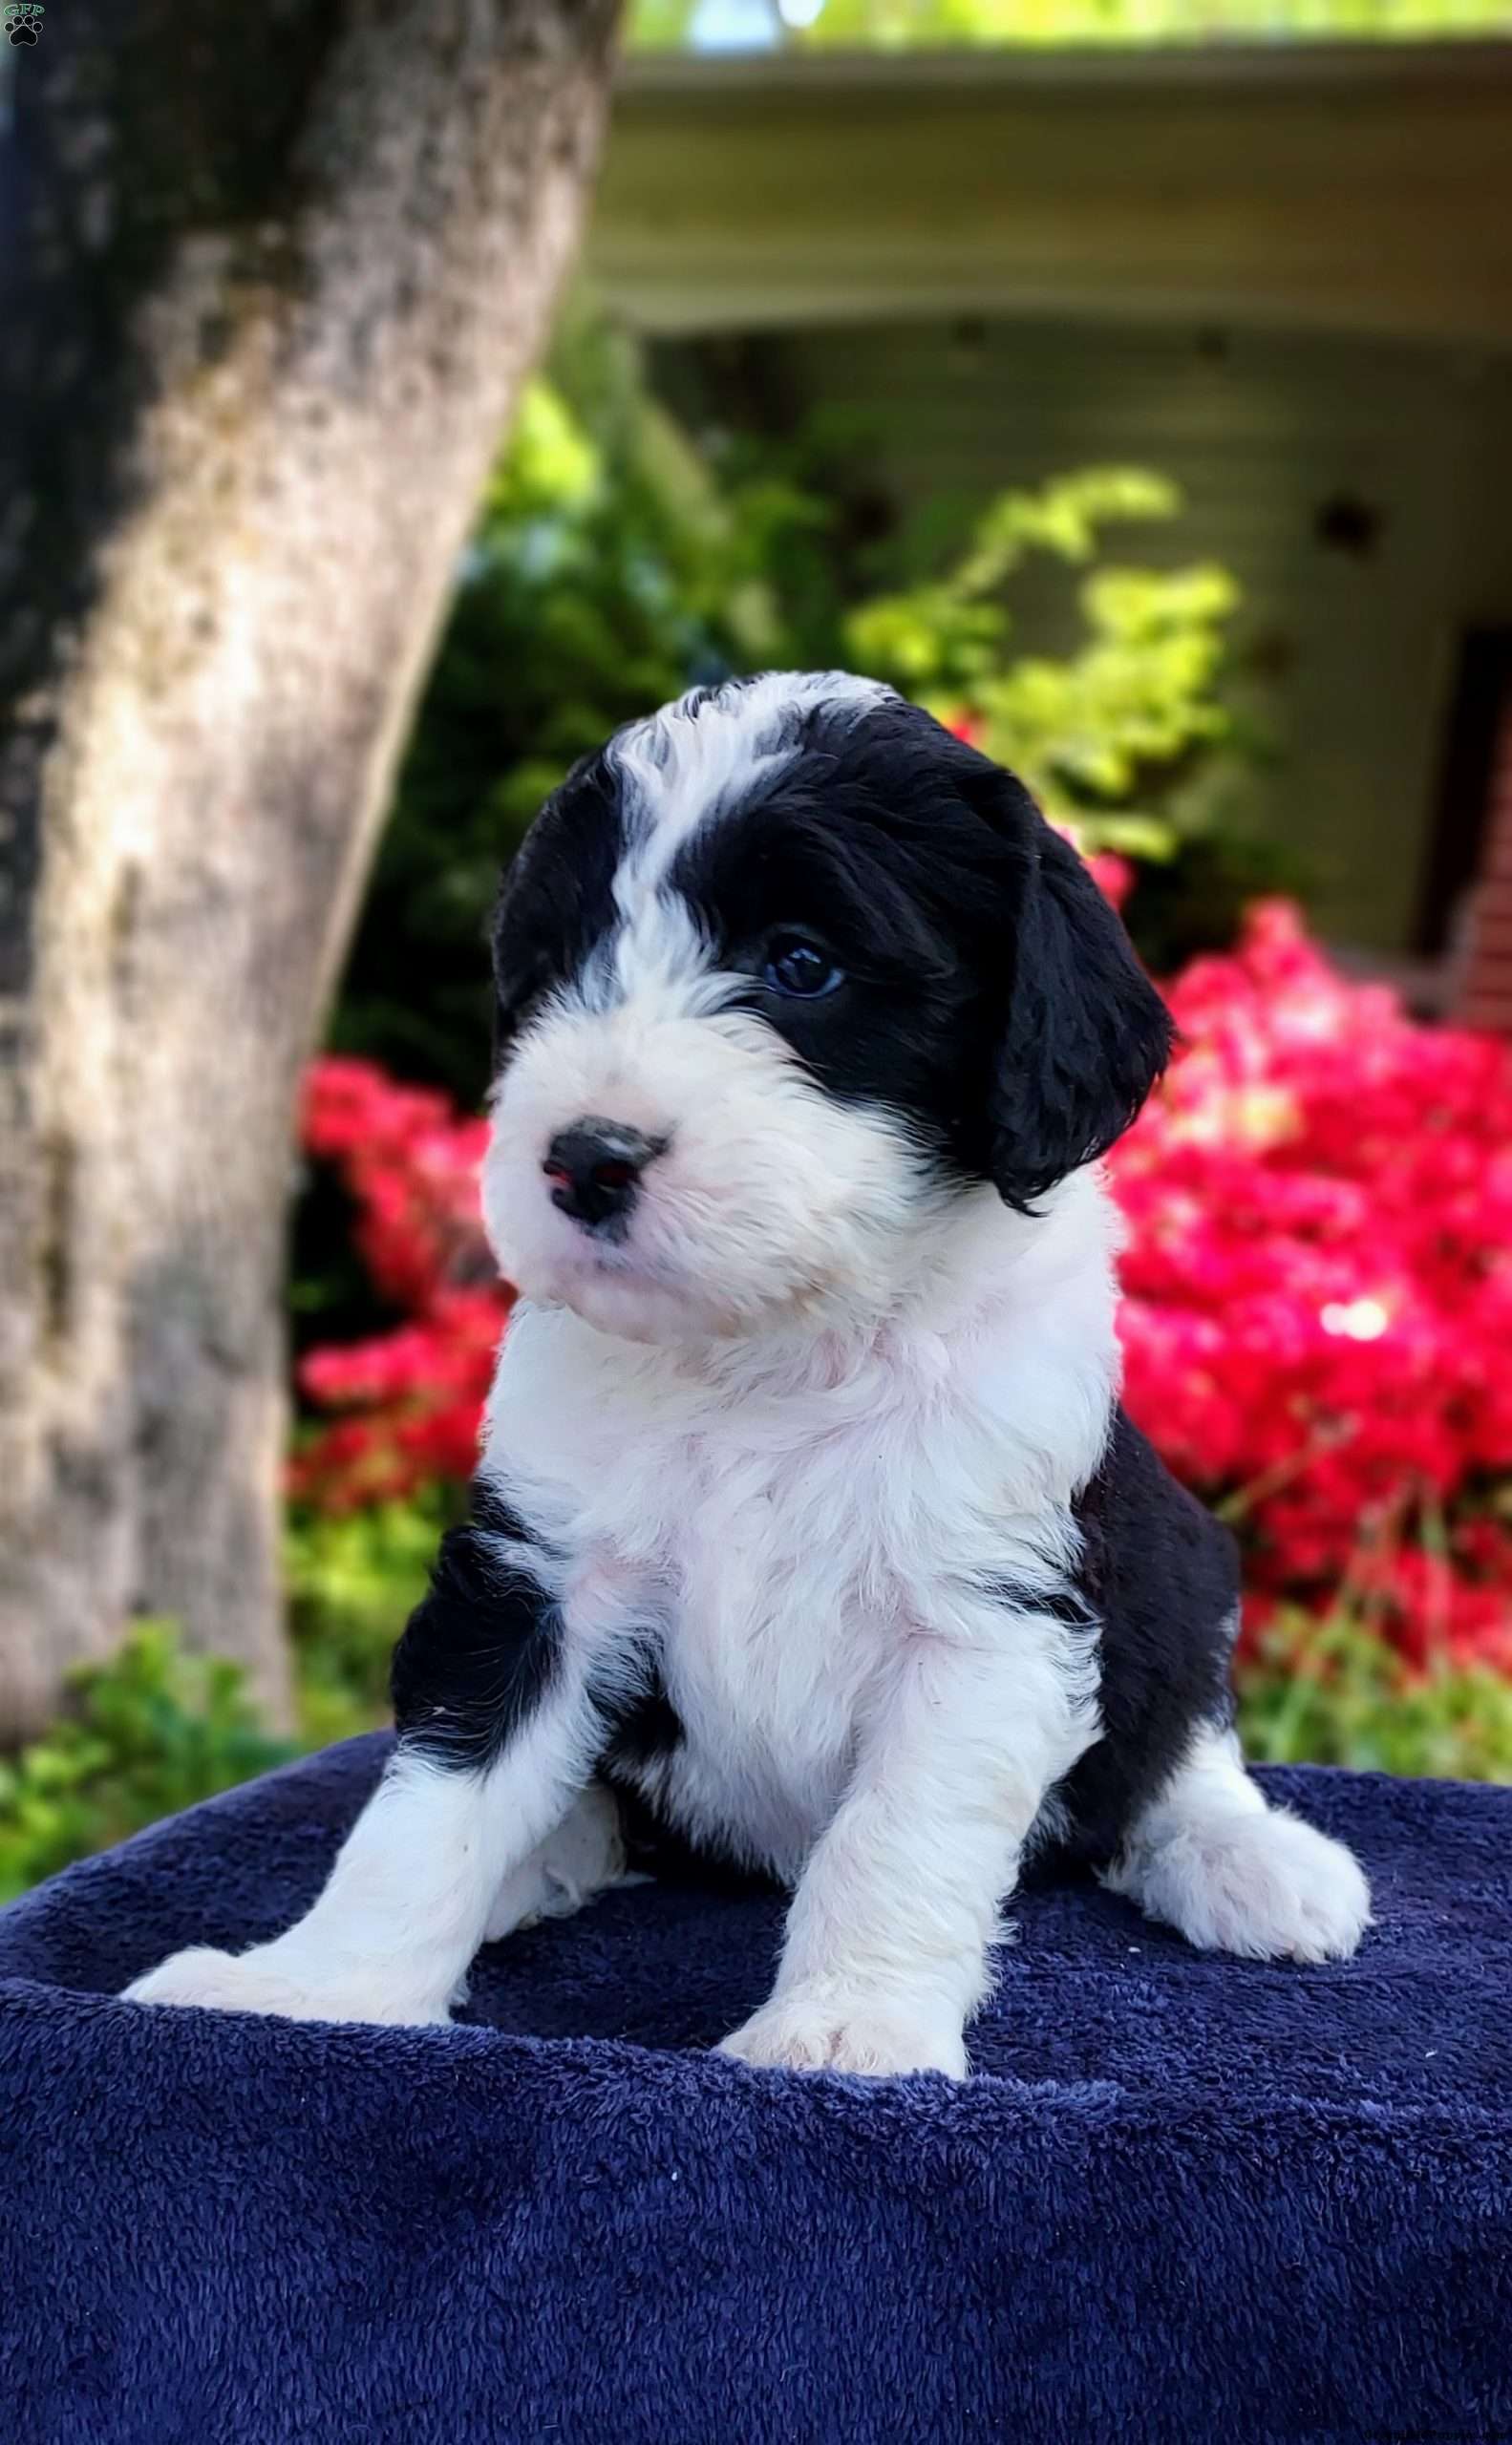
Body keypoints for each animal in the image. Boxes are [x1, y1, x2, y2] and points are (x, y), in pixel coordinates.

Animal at [129, 674, 1370, 2083]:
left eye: (801, 964)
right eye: (554, 969)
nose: (584, 1158)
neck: (774, 1346)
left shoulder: (987, 1611)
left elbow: (897, 1836)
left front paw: (844, 2031)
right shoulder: (540, 1575)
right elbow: (432, 1804)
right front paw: (311, 1990)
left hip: (1176, 1555)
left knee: (1173, 1740)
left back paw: (1255, 1862)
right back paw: (544, 1856)